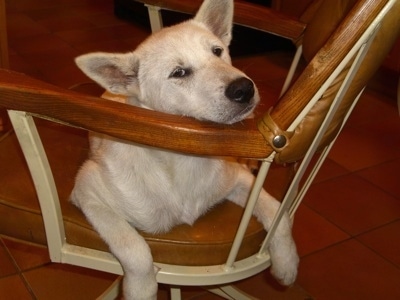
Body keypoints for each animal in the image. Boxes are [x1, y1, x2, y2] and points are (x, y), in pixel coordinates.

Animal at [71, 1, 296, 298]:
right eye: (179, 73)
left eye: (217, 51)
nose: (244, 89)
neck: (184, 159)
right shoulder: (88, 191)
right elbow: (134, 248)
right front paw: (141, 289)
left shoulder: (239, 181)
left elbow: (277, 212)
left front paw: (287, 263)